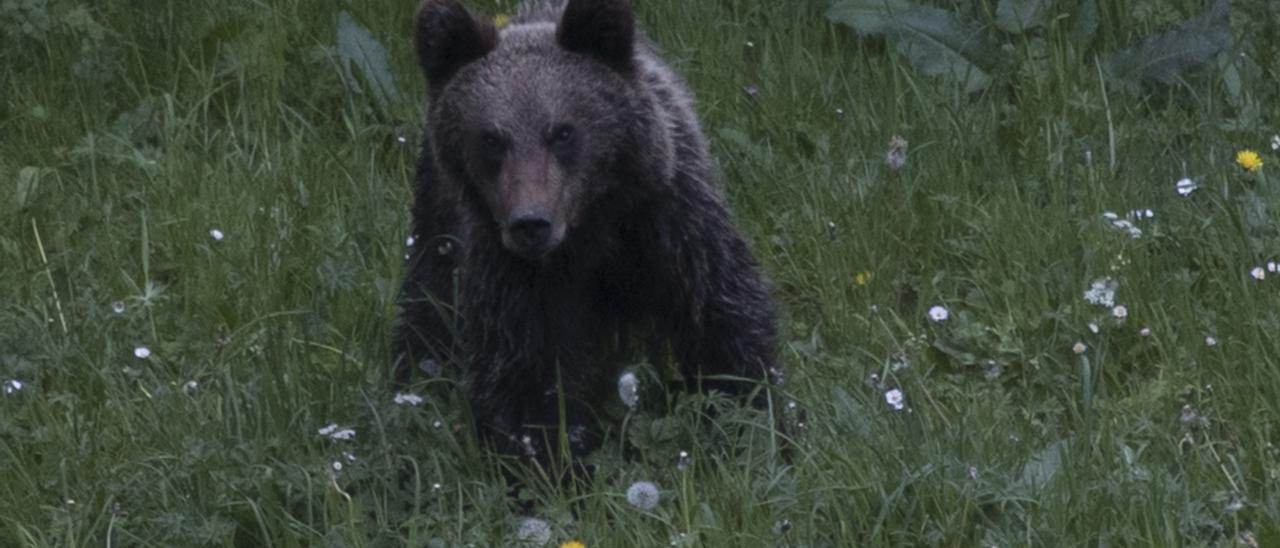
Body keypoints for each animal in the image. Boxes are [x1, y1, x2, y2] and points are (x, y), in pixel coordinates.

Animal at [391, 0, 778, 460]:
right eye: (491, 139)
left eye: (563, 131)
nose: (531, 223)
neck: (589, 227)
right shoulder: (516, 274)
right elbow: (527, 372)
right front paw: (549, 459)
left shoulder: (671, 226)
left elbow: (722, 321)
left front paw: (756, 424)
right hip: (440, 220)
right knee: (428, 304)